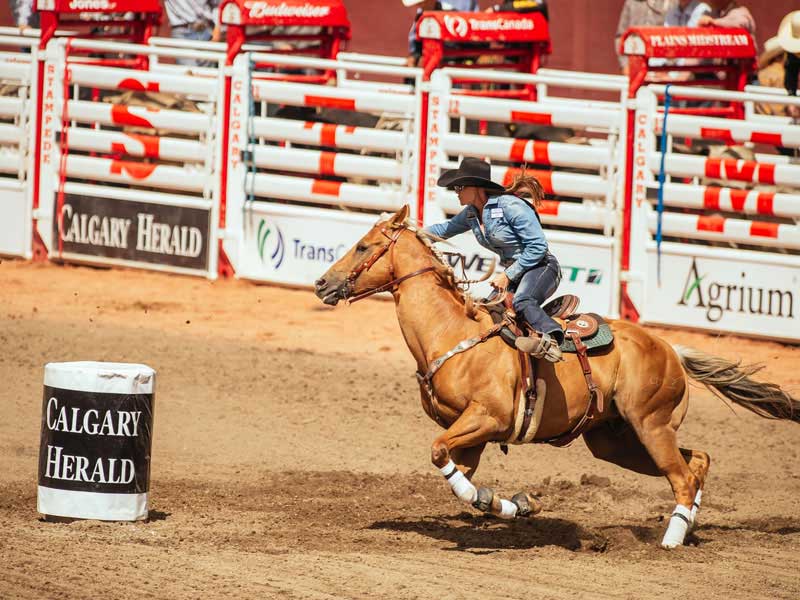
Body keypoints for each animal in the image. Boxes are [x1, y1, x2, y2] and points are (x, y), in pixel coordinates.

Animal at [314, 206, 800, 548]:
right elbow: (459, 479)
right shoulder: (469, 435)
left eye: (363, 246)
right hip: (616, 439)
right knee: (696, 462)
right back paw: (688, 526)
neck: (448, 333)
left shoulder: (486, 419)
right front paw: (512, 504)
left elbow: (438, 454)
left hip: (650, 426)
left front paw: (512, 504)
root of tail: (670, 350)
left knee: (682, 476)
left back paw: (670, 541)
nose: (321, 284)